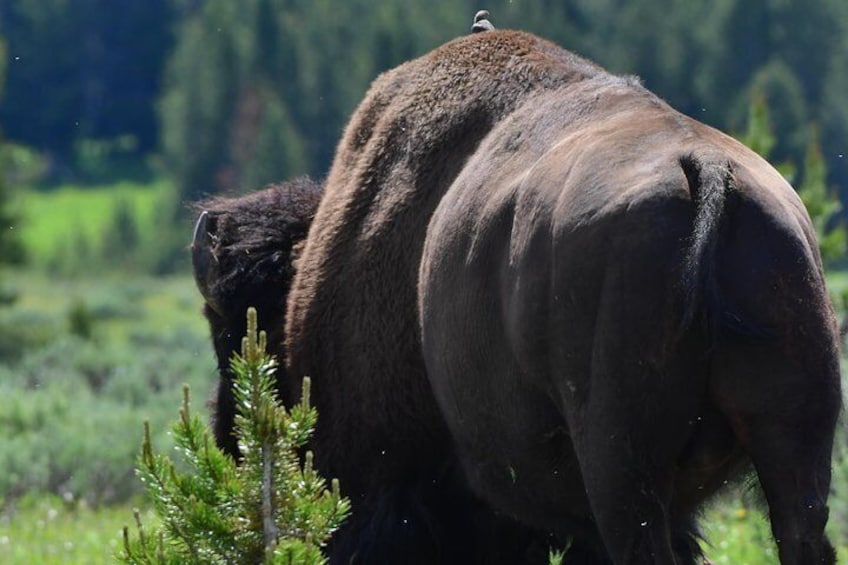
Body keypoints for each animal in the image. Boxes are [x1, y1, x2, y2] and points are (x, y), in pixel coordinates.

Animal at [194, 27, 840, 564]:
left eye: (230, 331)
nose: (232, 441)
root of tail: (705, 170)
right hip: (795, 441)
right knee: (802, 533)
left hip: (623, 469)